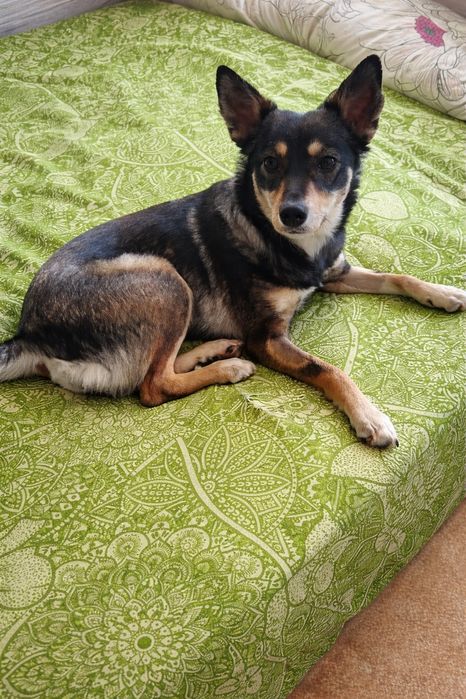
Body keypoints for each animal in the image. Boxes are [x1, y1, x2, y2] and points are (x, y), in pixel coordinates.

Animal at [1, 55, 465, 448]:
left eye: (329, 162)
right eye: (269, 164)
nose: (292, 214)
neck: (287, 241)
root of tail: (30, 335)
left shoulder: (334, 272)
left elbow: (396, 275)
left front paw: (444, 293)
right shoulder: (267, 338)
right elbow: (327, 368)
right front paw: (368, 416)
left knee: (160, 368)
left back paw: (215, 350)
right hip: (165, 280)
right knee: (152, 386)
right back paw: (228, 367)